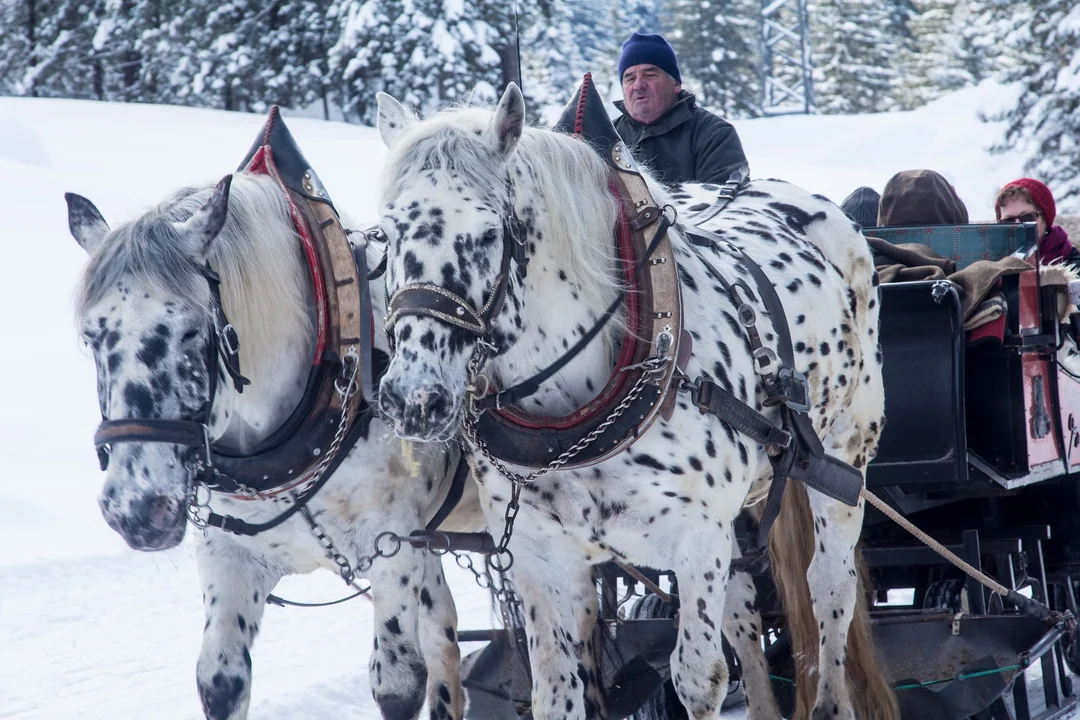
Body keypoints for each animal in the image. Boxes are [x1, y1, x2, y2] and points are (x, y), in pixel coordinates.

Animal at [61, 170, 479, 720]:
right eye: (91, 338)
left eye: (190, 330)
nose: (135, 509)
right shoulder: (230, 558)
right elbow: (220, 682)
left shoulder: (395, 549)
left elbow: (398, 685)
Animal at [371, 85, 902, 720]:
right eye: (384, 236)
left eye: (485, 234)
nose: (413, 399)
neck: (569, 424)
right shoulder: (542, 557)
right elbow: (556, 693)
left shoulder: (697, 538)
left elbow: (699, 679)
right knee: (743, 608)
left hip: (844, 455)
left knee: (829, 585)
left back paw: (830, 698)